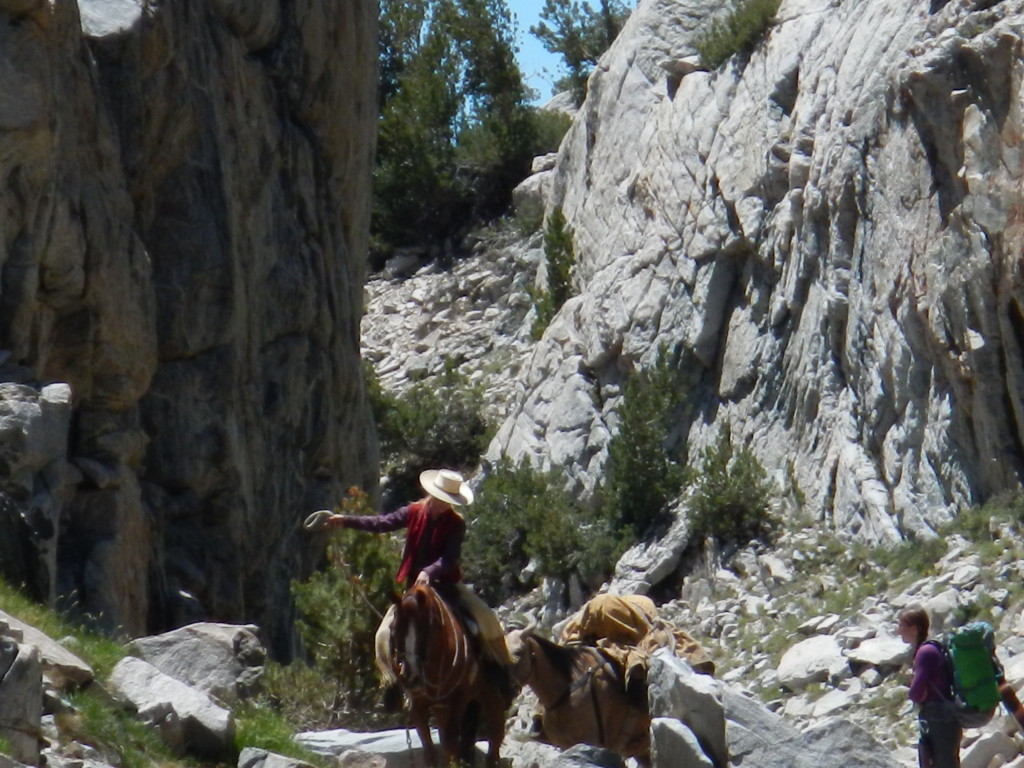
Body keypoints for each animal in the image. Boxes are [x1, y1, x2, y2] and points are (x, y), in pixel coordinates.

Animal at [387, 585, 507, 765]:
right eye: (394, 629)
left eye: (424, 630)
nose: (409, 675)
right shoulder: (417, 704)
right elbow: (429, 748)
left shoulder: (459, 699)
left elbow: (451, 745)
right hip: (441, 707)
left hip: (489, 694)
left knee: (495, 732)